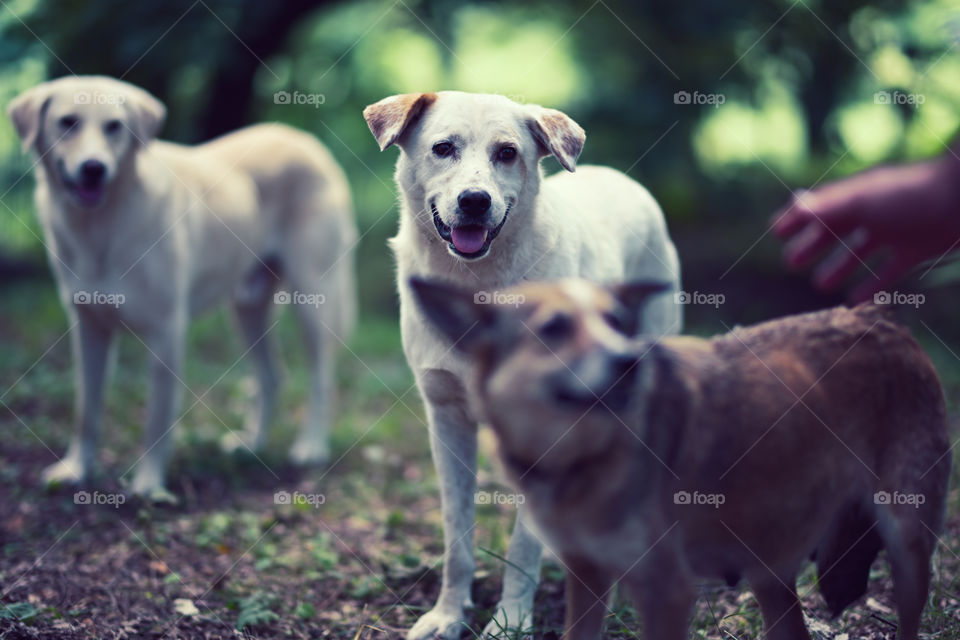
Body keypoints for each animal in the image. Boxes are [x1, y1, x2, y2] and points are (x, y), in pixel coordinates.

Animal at [8, 77, 356, 500]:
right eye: (68, 122)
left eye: (114, 126)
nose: (93, 168)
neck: (100, 227)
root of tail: (309, 143)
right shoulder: (88, 328)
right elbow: (85, 410)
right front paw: (75, 470)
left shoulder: (166, 331)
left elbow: (157, 421)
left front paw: (148, 486)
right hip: (246, 309)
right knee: (272, 377)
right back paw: (252, 446)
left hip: (312, 299)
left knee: (321, 377)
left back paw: (311, 447)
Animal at [362, 92, 684, 636]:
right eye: (442, 148)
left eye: (507, 153)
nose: (475, 200)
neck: (476, 285)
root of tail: (623, 179)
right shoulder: (446, 419)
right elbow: (457, 536)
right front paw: (448, 615)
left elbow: (522, 547)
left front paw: (510, 621)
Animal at [412, 278, 952, 640]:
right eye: (554, 328)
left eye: (616, 323)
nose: (628, 360)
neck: (581, 460)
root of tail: (880, 319)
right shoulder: (586, 578)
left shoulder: (668, 591)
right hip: (771, 571)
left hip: (907, 540)